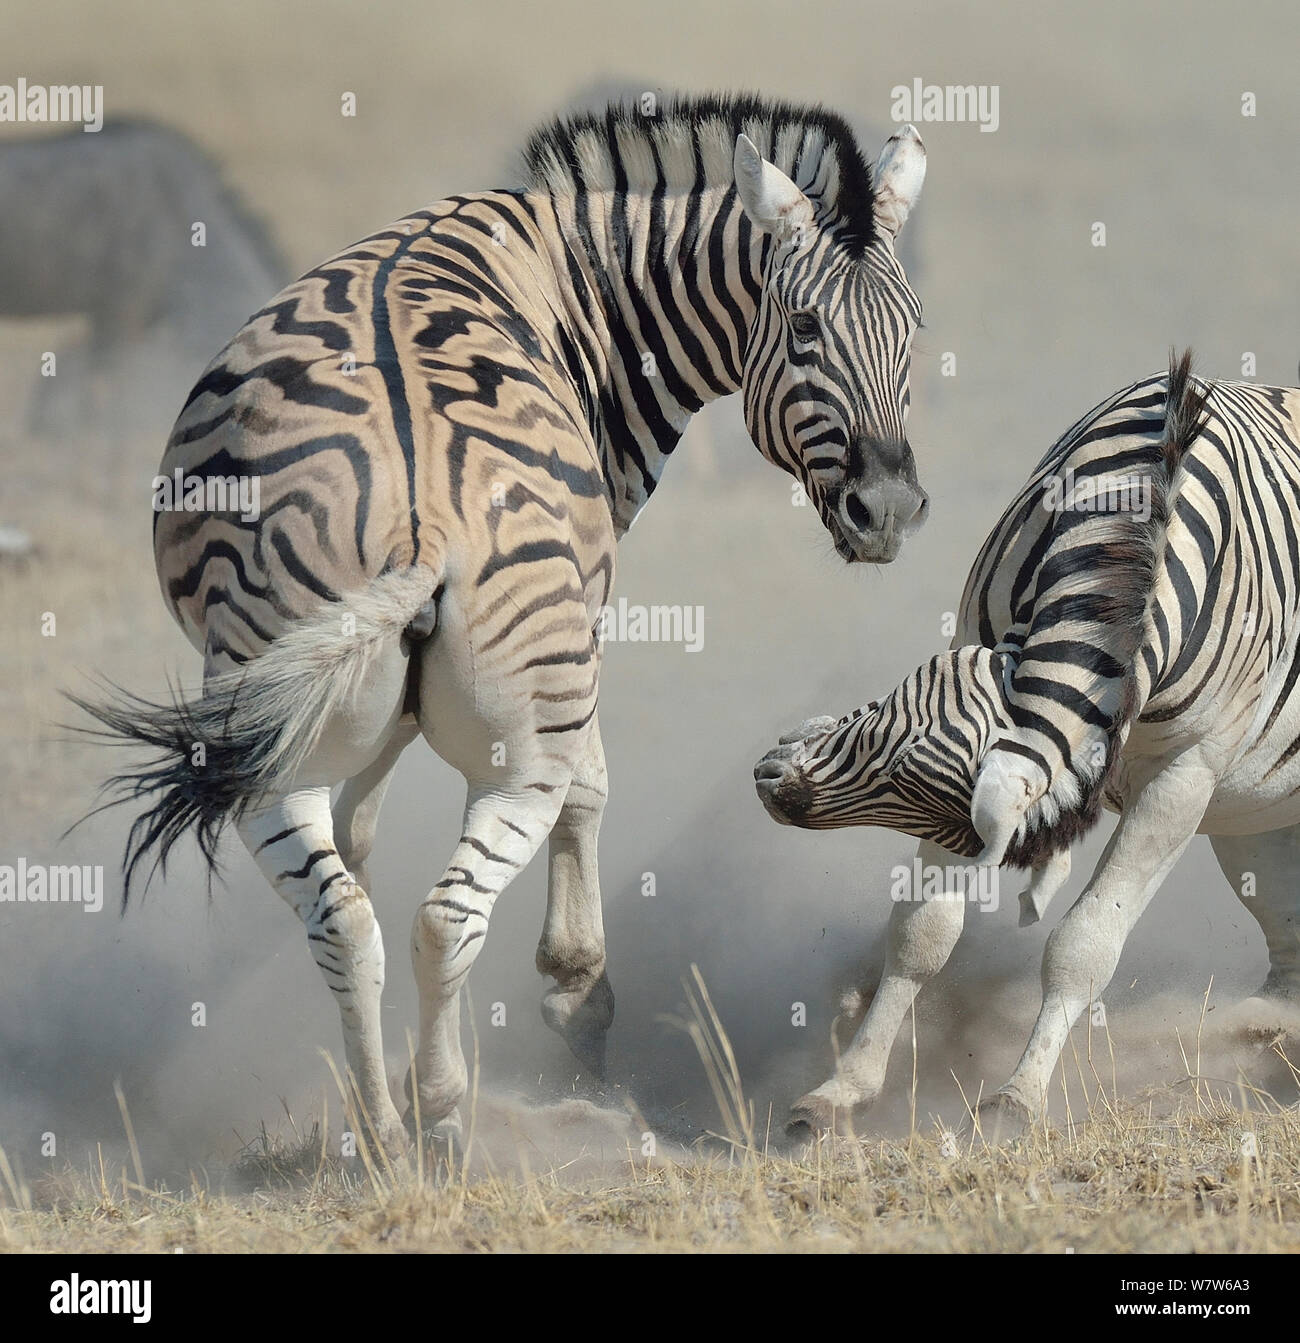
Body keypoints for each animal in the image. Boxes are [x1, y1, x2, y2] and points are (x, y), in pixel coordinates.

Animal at [77, 94, 929, 1153]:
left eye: (915, 328)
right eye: (805, 328)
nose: (888, 510)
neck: (584, 276)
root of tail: (423, 526)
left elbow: (362, 827)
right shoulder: (586, 619)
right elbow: (591, 793)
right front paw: (578, 1001)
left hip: (271, 730)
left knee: (344, 917)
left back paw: (385, 1131)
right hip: (525, 735)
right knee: (449, 913)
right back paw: (442, 1116)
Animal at [756, 352, 1300, 1137]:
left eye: (899, 763)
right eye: (890, 727)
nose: (775, 784)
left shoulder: (1183, 776)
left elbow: (1084, 945)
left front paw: (1017, 1097)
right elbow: (922, 933)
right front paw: (843, 1089)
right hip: (1253, 820)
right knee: (1286, 941)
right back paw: (1266, 1046)